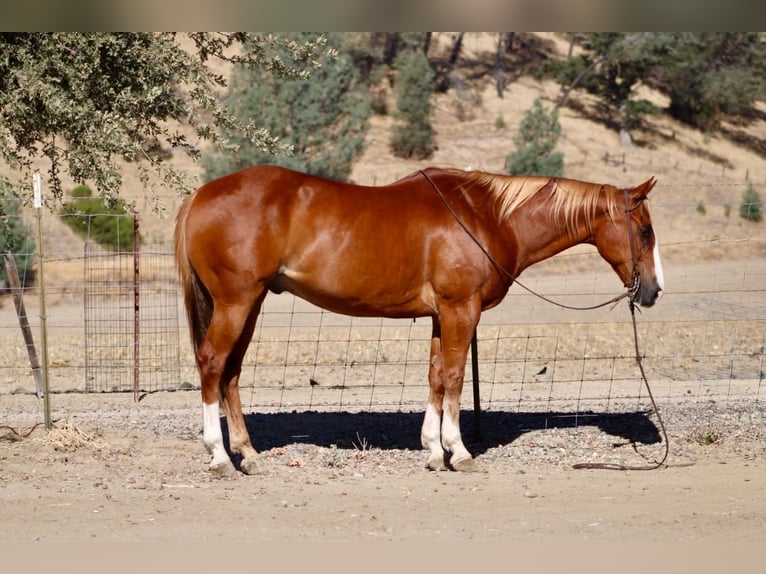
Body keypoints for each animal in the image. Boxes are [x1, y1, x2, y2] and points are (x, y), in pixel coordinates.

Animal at [174, 165, 664, 476]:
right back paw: (220, 457)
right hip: (236, 302)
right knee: (213, 363)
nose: (654, 290)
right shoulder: (460, 309)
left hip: (250, 304)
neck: (487, 217)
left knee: (231, 373)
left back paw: (248, 454)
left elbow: (435, 377)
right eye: (644, 231)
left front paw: (432, 449)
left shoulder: (440, 316)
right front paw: (459, 452)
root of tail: (201, 194)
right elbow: (455, 377)